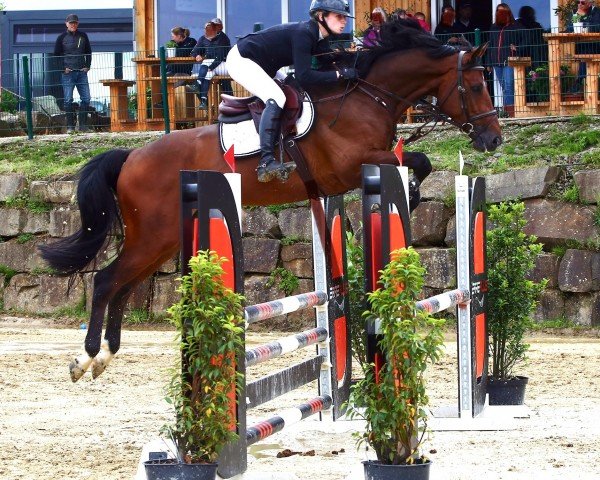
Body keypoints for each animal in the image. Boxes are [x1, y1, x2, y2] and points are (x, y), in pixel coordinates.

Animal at [39, 20, 504, 382]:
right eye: (476, 85)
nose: (494, 140)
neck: (367, 96)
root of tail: (130, 156)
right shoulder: (351, 164)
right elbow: (415, 159)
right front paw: (412, 190)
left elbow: (418, 160)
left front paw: (414, 190)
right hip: (152, 235)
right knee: (106, 281)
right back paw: (84, 358)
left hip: (161, 239)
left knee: (123, 285)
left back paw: (105, 355)